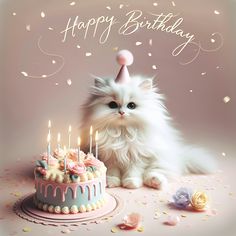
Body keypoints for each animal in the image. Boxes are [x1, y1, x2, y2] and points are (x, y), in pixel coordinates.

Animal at [79, 50, 216, 190]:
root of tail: (180, 156)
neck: (122, 133)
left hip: (160, 160)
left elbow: (133, 172)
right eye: (112, 105)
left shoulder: (138, 157)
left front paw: (131, 184)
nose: (121, 112)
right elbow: (112, 171)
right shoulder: (109, 156)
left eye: (131, 106)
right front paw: (111, 182)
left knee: (155, 174)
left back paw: (155, 182)